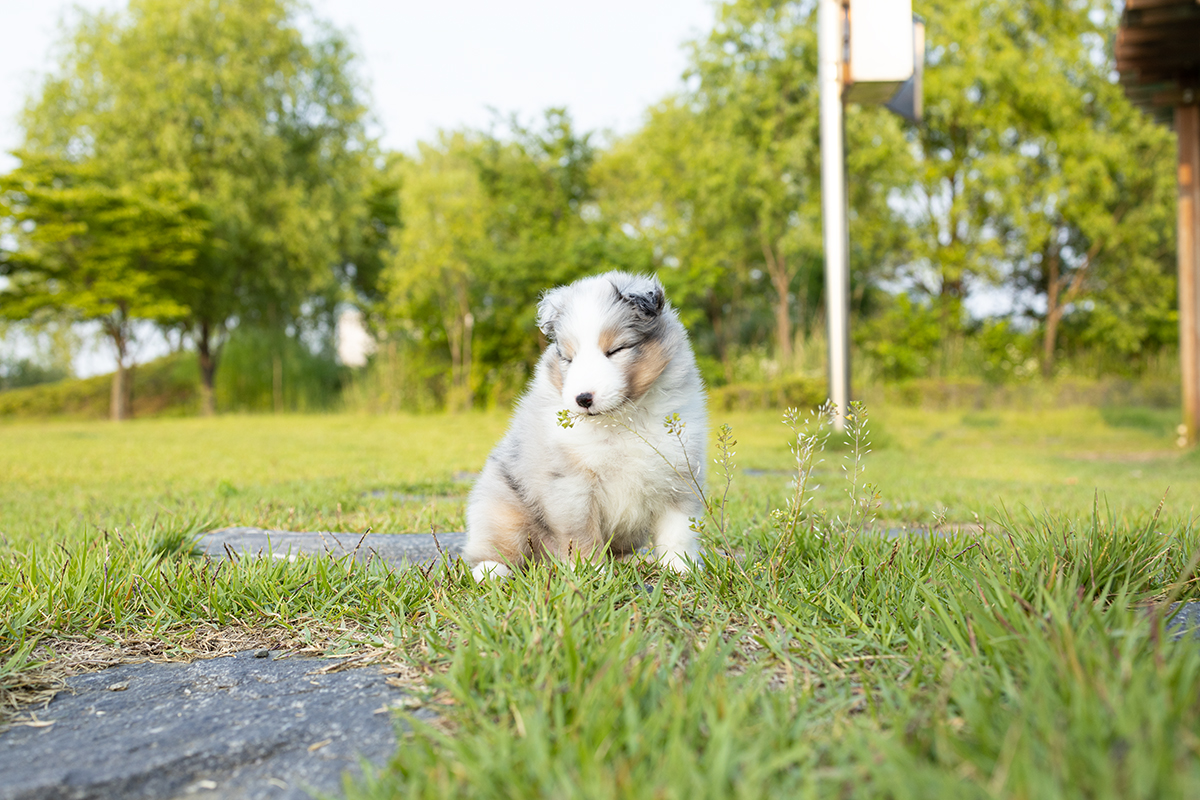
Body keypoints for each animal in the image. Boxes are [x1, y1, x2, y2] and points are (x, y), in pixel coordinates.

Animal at [463, 271, 705, 582]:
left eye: (616, 350)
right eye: (568, 358)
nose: (582, 399)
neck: (621, 419)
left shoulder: (679, 473)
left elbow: (678, 532)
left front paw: (681, 569)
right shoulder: (572, 485)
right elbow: (582, 536)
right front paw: (592, 573)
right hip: (502, 509)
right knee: (498, 547)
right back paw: (491, 570)